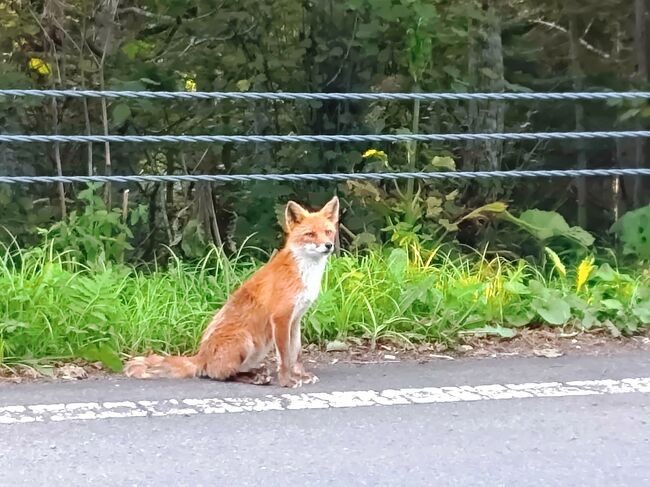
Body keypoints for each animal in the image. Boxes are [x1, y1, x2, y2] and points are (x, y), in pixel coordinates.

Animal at [126, 196, 340, 386]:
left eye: (328, 232)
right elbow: (285, 358)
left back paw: (257, 374)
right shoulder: (280, 317)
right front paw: (287, 382)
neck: (304, 273)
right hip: (245, 340)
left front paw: (300, 375)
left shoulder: (295, 319)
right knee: (220, 374)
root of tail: (200, 357)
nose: (328, 246)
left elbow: (296, 354)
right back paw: (254, 378)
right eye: (310, 234)